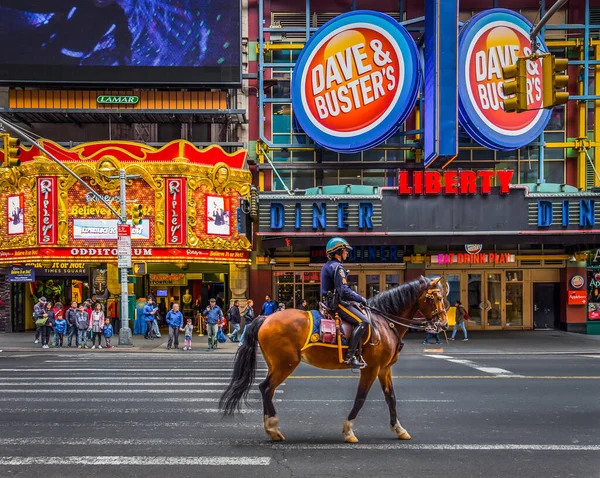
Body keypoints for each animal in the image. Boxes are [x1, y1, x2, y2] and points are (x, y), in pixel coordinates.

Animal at [219, 276, 446, 444]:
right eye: (436, 297)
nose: (444, 323)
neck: (384, 322)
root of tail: (266, 318)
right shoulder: (371, 368)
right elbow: (360, 398)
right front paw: (348, 431)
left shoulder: (384, 369)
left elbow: (391, 398)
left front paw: (399, 429)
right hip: (285, 364)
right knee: (266, 388)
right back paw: (273, 428)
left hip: (276, 364)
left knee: (268, 390)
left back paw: (271, 428)